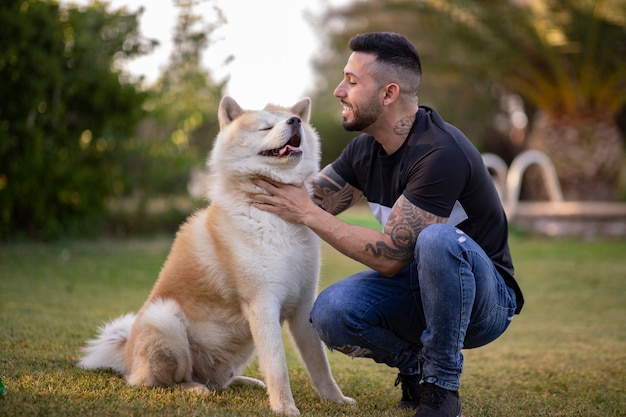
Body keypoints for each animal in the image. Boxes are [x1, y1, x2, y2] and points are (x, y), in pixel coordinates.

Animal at [78, 96, 354, 412]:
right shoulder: (263, 305)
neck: (277, 220)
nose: (294, 121)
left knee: (219, 381)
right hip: (165, 319)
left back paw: (246, 383)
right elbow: (277, 366)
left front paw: (336, 400)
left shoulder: (303, 306)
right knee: (164, 382)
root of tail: (126, 355)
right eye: (266, 127)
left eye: (290, 119)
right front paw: (284, 407)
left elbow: (320, 366)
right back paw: (192, 389)